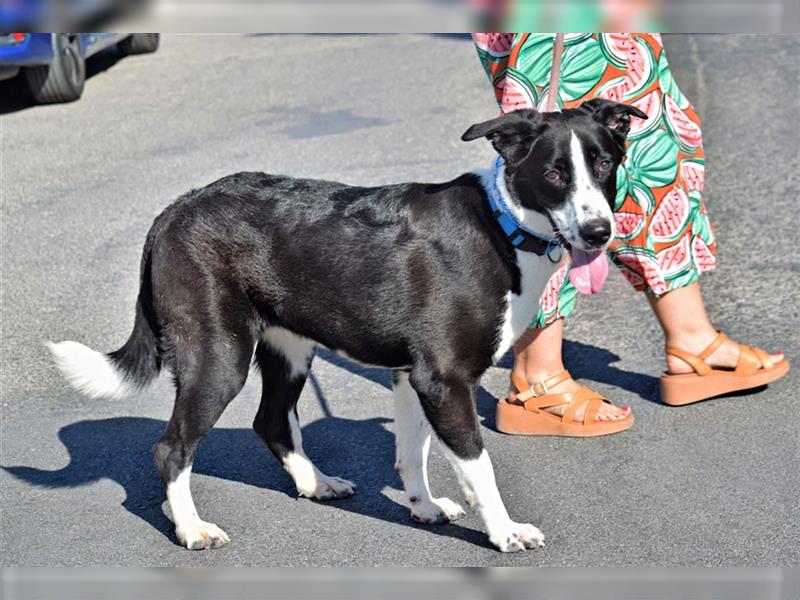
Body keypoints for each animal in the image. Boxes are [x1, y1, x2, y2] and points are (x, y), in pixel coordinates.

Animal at [48, 99, 644, 552]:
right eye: (554, 174)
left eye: (605, 165)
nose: (599, 232)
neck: (503, 225)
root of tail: (172, 211)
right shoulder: (445, 380)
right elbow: (480, 469)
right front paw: (505, 533)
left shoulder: (412, 376)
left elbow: (412, 450)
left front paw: (424, 507)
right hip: (219, 355)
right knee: (172, 448)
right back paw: (191, 527)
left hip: (290, 348)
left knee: (270, 420)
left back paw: (313, 484)